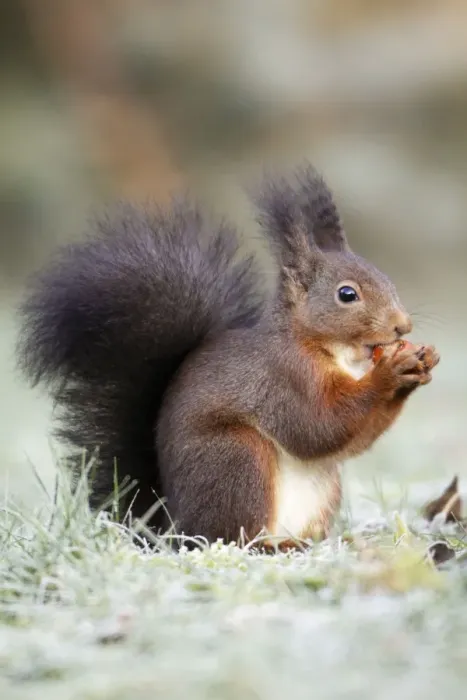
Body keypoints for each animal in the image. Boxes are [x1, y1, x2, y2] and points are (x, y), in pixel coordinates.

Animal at [17, 164, 440, 549]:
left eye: (387, 279)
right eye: (347, 294)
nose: (402, 326)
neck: (335, 354)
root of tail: (171, 526)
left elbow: (352, 440)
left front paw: (423, 362)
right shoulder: (283, 378)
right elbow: (318, 426)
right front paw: (391, 372)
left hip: (322, 486)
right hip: (237, 460)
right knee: (231, 537)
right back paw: (271, 546)